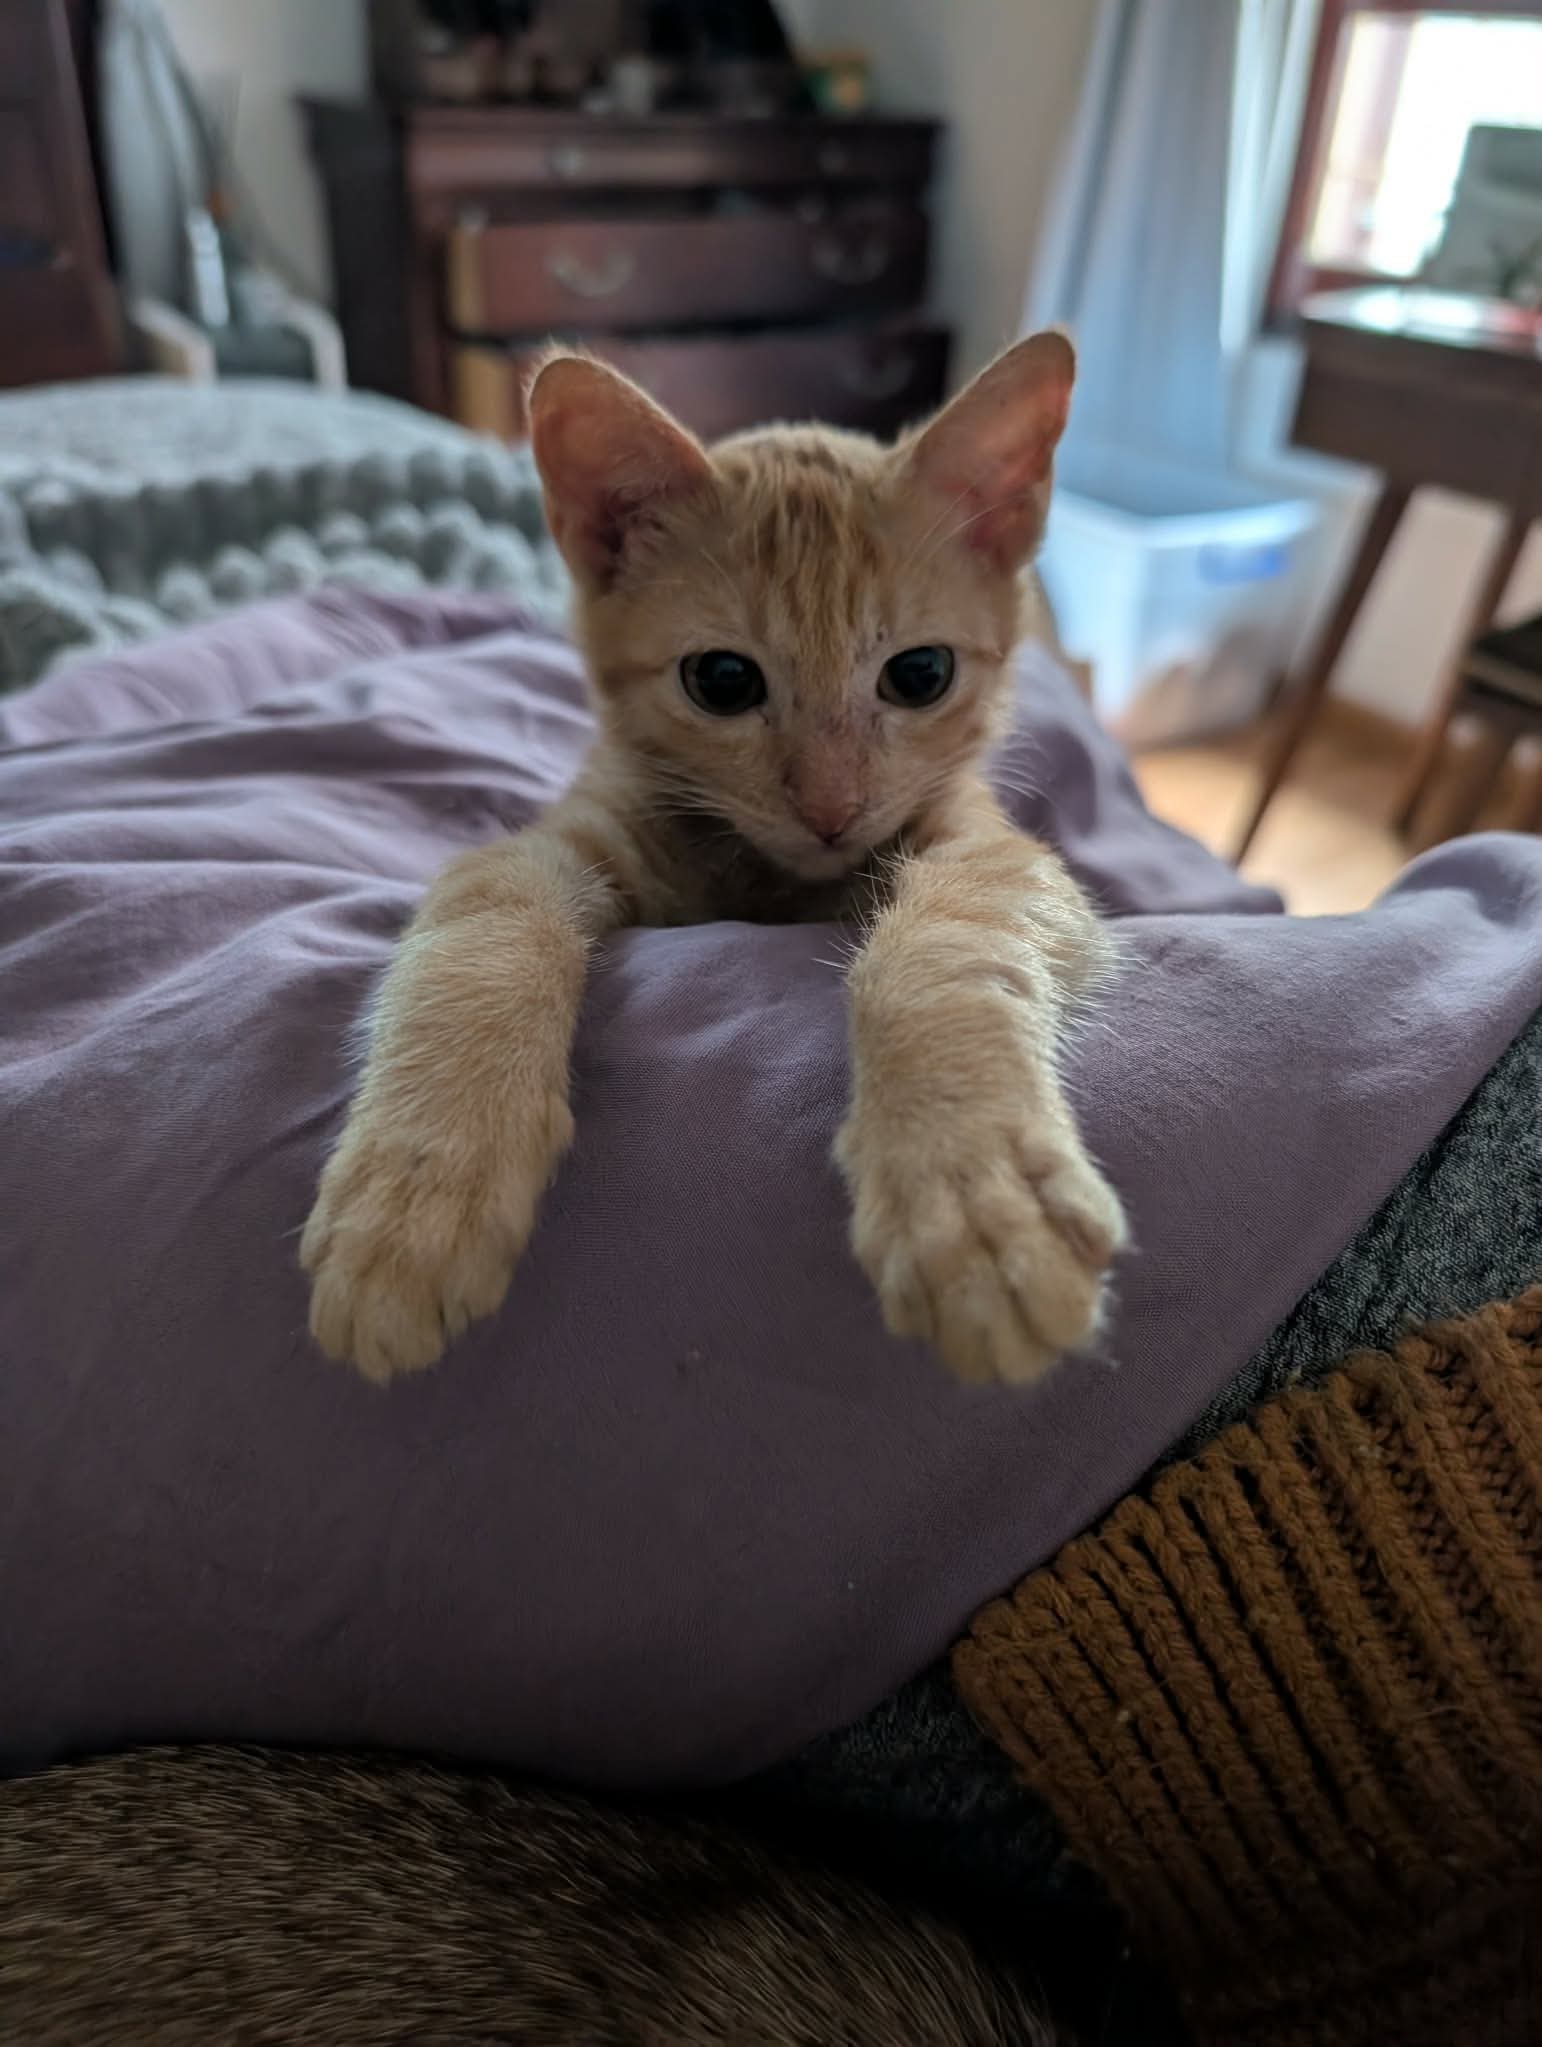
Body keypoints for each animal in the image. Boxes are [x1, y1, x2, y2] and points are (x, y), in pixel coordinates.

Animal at [301, 334, 1128, 1386]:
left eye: (921, 674)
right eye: (723, 681)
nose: (830, 809)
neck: (774, 883)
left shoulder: (995, 854)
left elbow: (945, 948)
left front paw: (972, 1190)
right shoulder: (552, 840)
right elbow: (486, 935)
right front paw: (419, 1185)